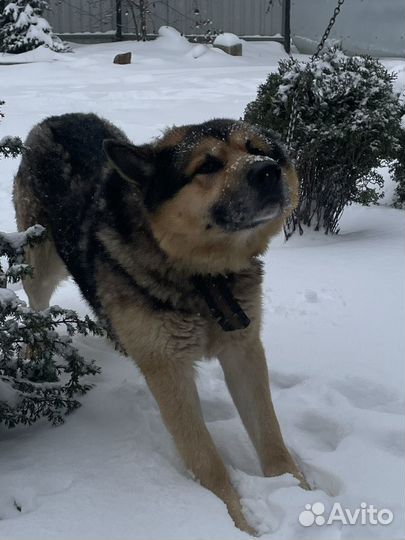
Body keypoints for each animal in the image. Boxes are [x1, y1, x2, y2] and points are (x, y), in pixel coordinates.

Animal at [13, 112, 306, 532]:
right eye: (208, 165)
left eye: (258, 149)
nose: (268, 171)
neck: (203, 276)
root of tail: (55, 119)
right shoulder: (168, 369)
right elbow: (206, 460)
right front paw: (237, 522)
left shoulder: (244, 349)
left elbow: (271, 436)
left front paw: (301, 493)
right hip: (40, 263)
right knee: (35, 307)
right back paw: (35, 350)